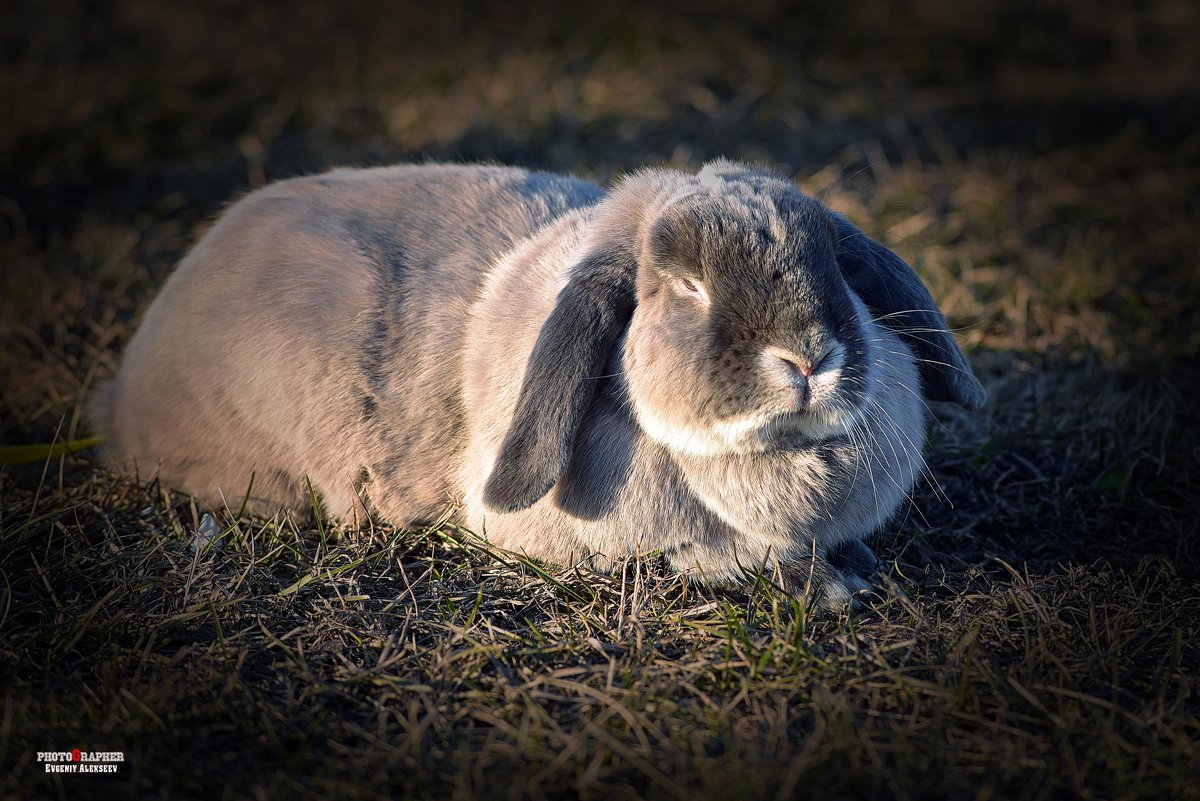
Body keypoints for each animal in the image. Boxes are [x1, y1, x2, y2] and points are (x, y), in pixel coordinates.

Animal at [98, 159, 984, 609]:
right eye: (686, 285)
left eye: (832, 263)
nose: (807, 358)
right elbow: (718, 555)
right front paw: (829, 585)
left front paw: (851, 563)